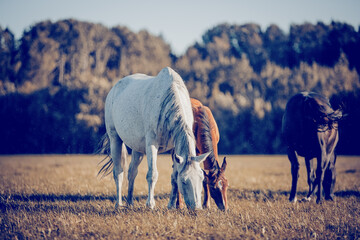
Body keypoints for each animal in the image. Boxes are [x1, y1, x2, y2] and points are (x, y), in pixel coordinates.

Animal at [100, 66, 210, 209]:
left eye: (201, 178)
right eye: (185, 181)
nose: (197, 208)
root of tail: (114, 89)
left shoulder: (175, 148)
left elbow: (174, 177)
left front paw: (171, 205)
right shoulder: (152, 143)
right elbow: (152, 174)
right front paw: (150, 204)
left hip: (137, 148)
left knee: (132, 172)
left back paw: (130, 202)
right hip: (115, 139)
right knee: (118, 172)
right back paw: (118, 204)